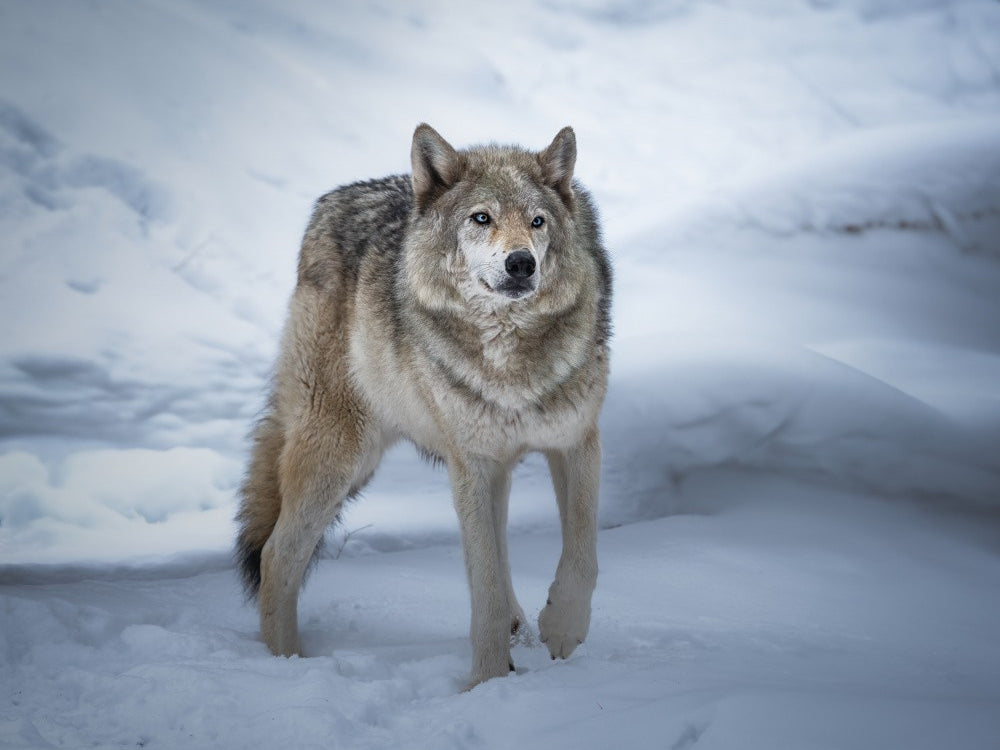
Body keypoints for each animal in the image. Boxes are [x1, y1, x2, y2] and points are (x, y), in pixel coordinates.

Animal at [235, 123, 612, 688]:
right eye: (481, 218)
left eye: (537, 221)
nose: (521, 263)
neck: (508, 358)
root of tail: (328, 204)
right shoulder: (471, 465)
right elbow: (484, 591)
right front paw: (487, 684)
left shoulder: (574, 442)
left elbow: (581, 556)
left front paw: (561, 630)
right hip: (344, 456)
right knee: (278, 555)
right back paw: (289, 669)